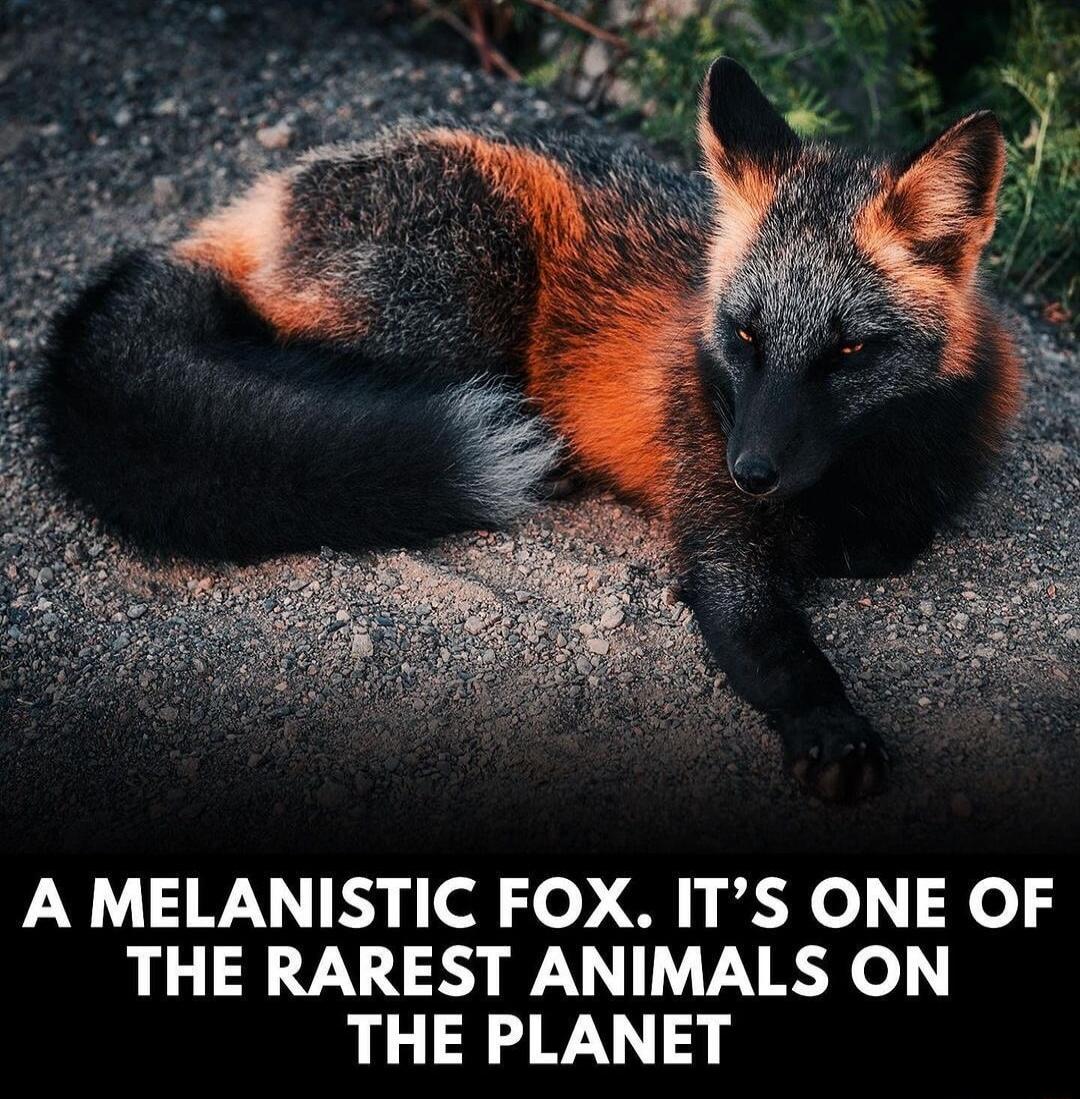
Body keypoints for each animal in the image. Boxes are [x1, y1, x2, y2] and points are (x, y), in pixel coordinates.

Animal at [37, 59, 1022, 802]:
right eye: (746, 337)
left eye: (848, 350)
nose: (750, 469)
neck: (858, 472)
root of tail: (266, 196)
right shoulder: (716, 532)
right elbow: (776, 645)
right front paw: (829, 726)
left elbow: (893, 539)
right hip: (464, 302)